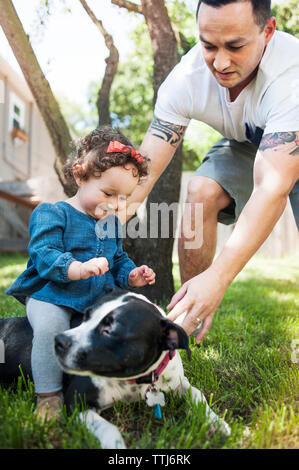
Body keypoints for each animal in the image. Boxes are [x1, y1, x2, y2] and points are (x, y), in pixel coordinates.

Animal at [0, 290, 231, 448]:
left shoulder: (179, 383)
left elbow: (199, 395)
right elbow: (109, 428)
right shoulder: (76, 402)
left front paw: (216, 422)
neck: (135, 380)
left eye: (109, 331)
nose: (59, 340)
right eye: (85, 316)